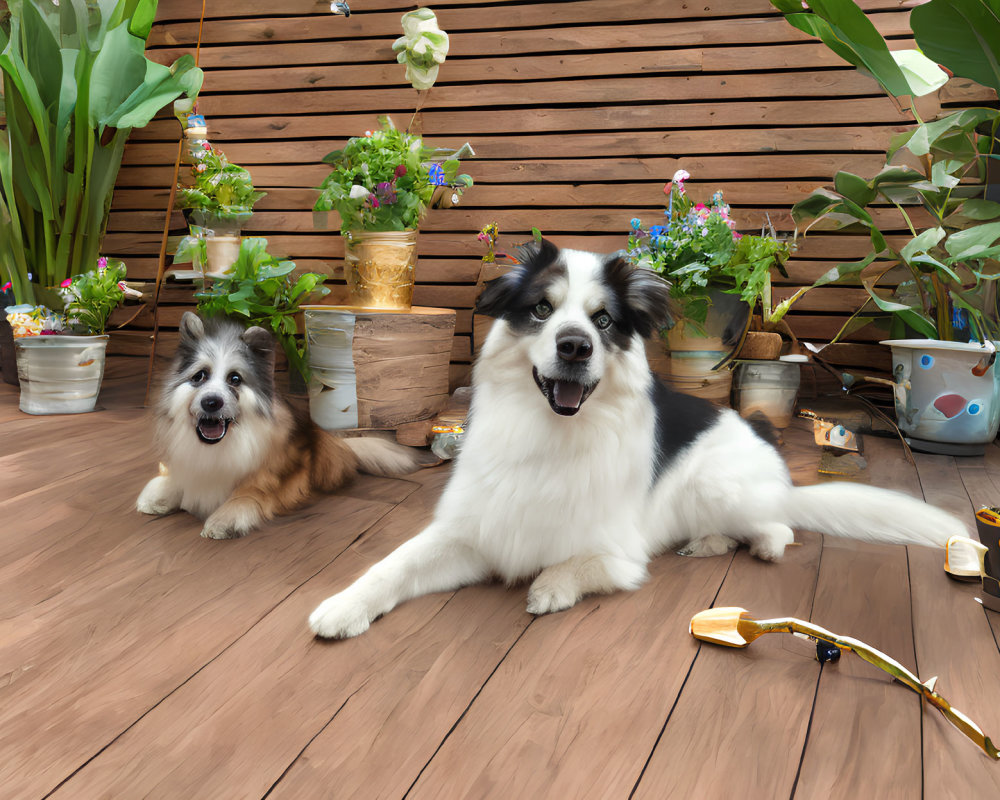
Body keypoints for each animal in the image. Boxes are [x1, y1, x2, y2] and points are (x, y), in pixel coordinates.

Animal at [137, 312, 418, 536]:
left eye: (235, 379)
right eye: (200, 376)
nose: (211, 402)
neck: (216, 446)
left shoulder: (265, 478)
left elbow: (247, 494)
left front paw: (223, 520)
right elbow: (176, 478)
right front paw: (159, 495)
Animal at [310, 241, 960, 640]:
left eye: (603, 321)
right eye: (541, 309)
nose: (575, 346)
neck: (552, 434)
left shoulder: (618, 554)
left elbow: (580, 563)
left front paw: (551, 587)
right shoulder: (472, 532)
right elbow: (393, 565)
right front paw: (344, 606)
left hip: (720, 484)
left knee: (780, 527)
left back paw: (750, 544)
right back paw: (707, 542)